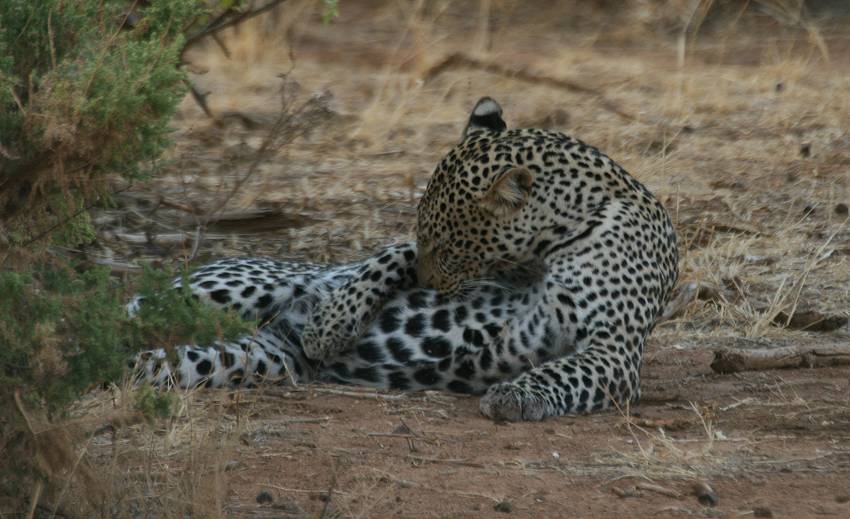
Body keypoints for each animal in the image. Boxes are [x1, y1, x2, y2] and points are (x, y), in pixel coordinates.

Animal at [132, 97, 676, 422]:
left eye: (451, 247)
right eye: (433, 241)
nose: (431, 288)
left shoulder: (615, 350)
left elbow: (562, 371)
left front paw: (516, 395)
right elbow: (388, 256)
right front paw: (333, 320)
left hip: (252, 360)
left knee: (157, 361)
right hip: (229, 287)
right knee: (137, 310)